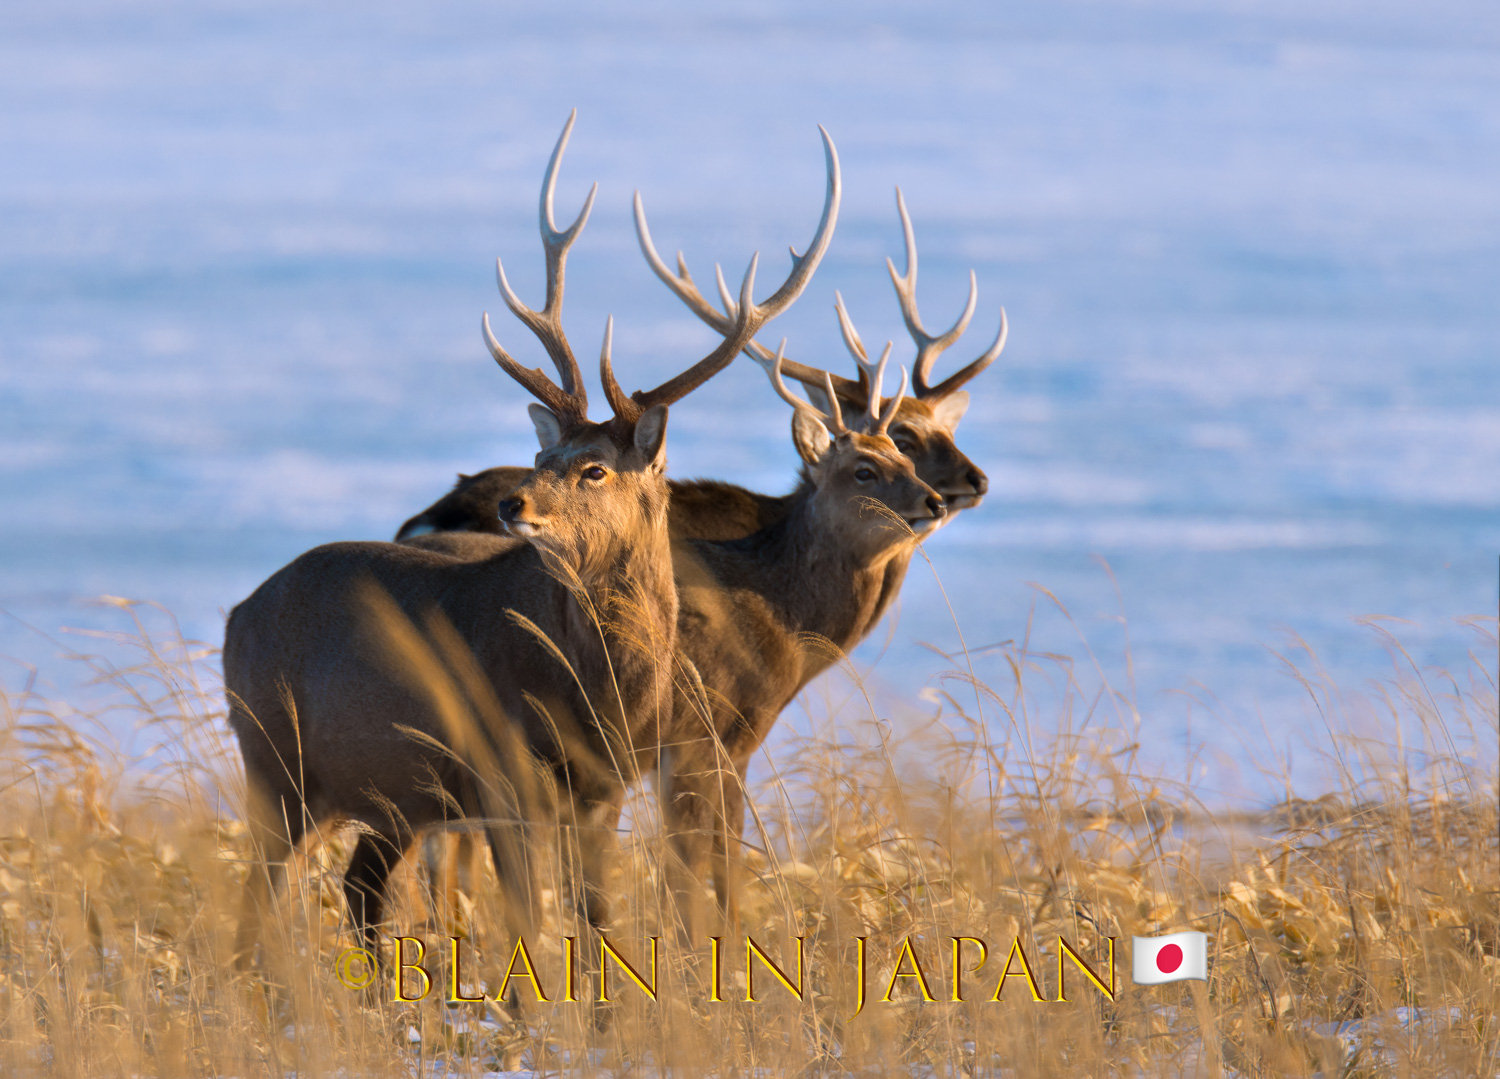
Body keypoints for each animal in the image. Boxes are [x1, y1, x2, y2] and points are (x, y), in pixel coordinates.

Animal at [222, 114, 840, 960]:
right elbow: (528, 920)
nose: (514, 503)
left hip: (378, 792)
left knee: (357, 891)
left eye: (594, 468)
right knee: (257, 901)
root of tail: (235, 617)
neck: (599, 692)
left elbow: (597, 916)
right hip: (273, 758)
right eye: (545, 458)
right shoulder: (503, 774)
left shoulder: (603, 791)